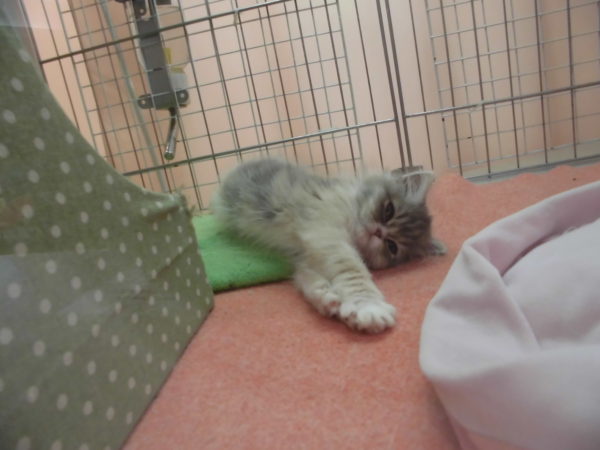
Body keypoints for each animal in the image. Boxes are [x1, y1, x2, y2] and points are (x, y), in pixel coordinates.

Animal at [211, 158, 446, 333]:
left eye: (392, 247)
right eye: (388, 211)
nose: (378, 232)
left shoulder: (308, 255)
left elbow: (306, 279)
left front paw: (326, 298)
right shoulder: (327, 236)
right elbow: (354, 273)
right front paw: (367, 307)